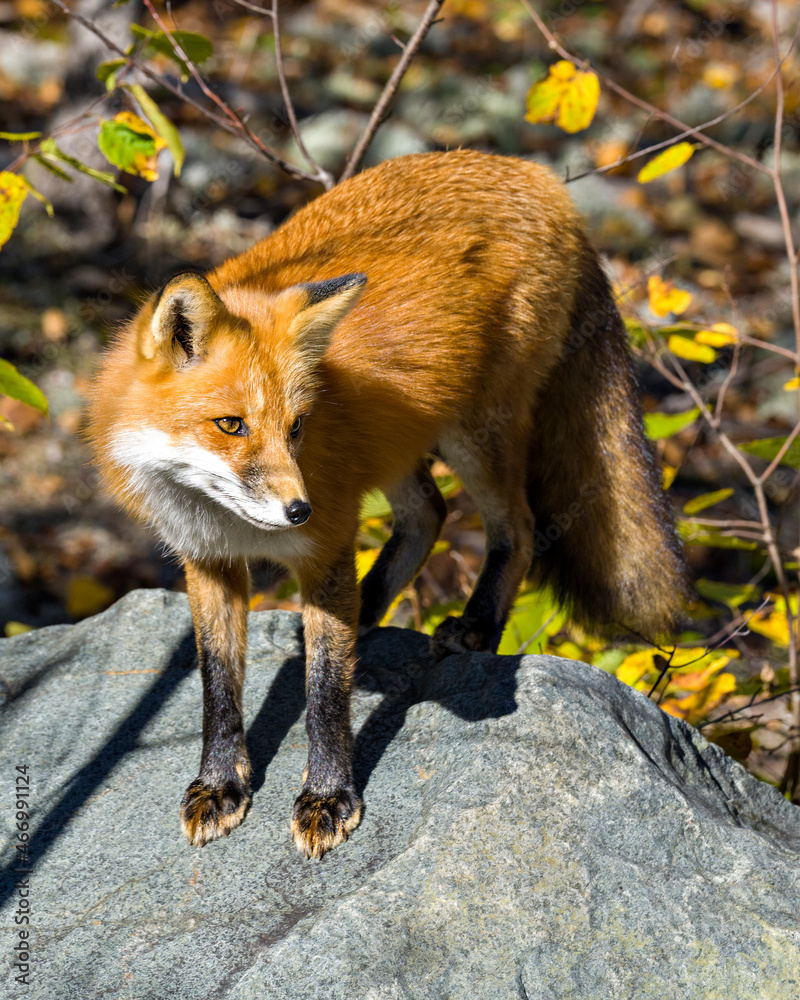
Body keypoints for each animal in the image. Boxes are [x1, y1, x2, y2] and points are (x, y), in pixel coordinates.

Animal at [88, 150, 687, 859]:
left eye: (296, 427)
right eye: (231, 425)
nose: (299, 511)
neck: (218, 516)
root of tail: (528, 172)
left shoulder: (325, 547)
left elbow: (326, 695)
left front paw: (328, 798)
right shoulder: (209, 564)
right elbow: (218, 687)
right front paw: (220, 785)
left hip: (475, 434)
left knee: (518, 526)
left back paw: (475, 625)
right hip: (404, 441)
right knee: (428, 515)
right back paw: (366, 610)